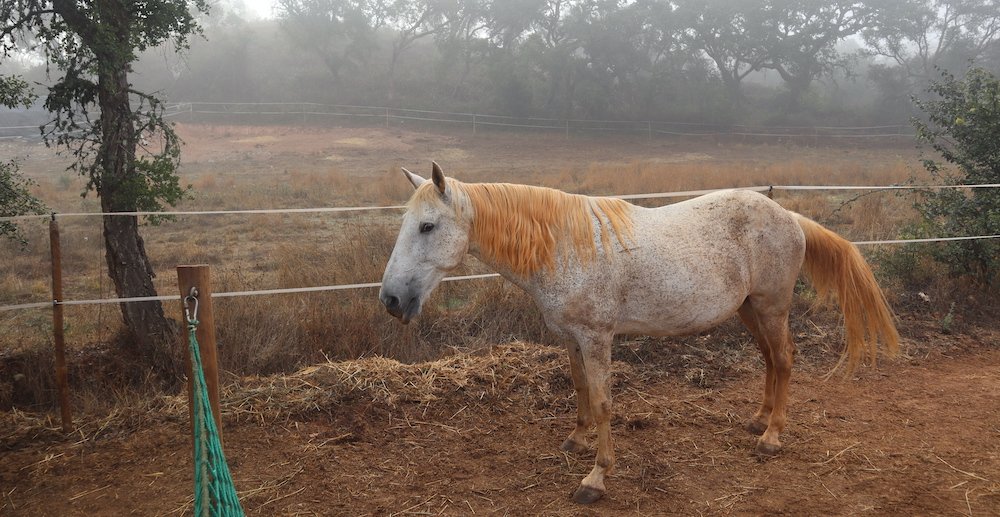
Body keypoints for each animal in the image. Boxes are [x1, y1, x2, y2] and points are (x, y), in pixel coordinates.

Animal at [379, 162, 899, 504]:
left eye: (428, 226)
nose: (391, 300)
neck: (564, 247)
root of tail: (788, 217)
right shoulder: (571, 337)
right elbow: (580, 390)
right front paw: (577, 440)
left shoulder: (597, 337)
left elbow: (603, 401)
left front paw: (596, 478)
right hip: (751, 310)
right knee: (772, 360)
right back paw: (758, 420)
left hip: (771, 307)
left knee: (786, 359)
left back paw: (771, 437)